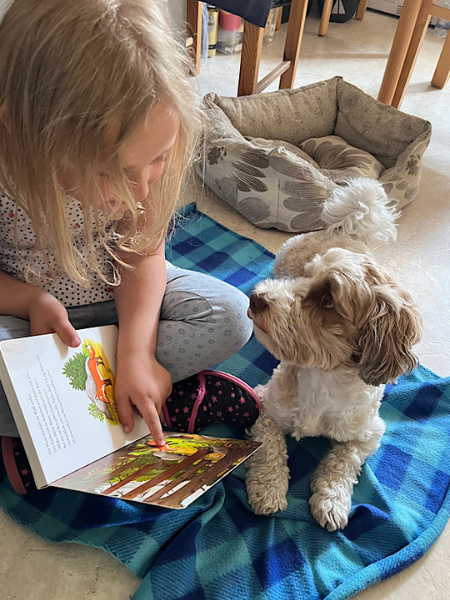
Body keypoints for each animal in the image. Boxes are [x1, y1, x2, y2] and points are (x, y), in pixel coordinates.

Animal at [244, 178, 424, 528]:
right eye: (303, 276)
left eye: (328, 299)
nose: (257, 298)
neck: (323, 377)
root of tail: (346, 229)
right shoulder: (266, 406)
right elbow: (270, 449)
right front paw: (268, 489)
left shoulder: (367, 434)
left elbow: (342, 462)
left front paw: (332, 501)